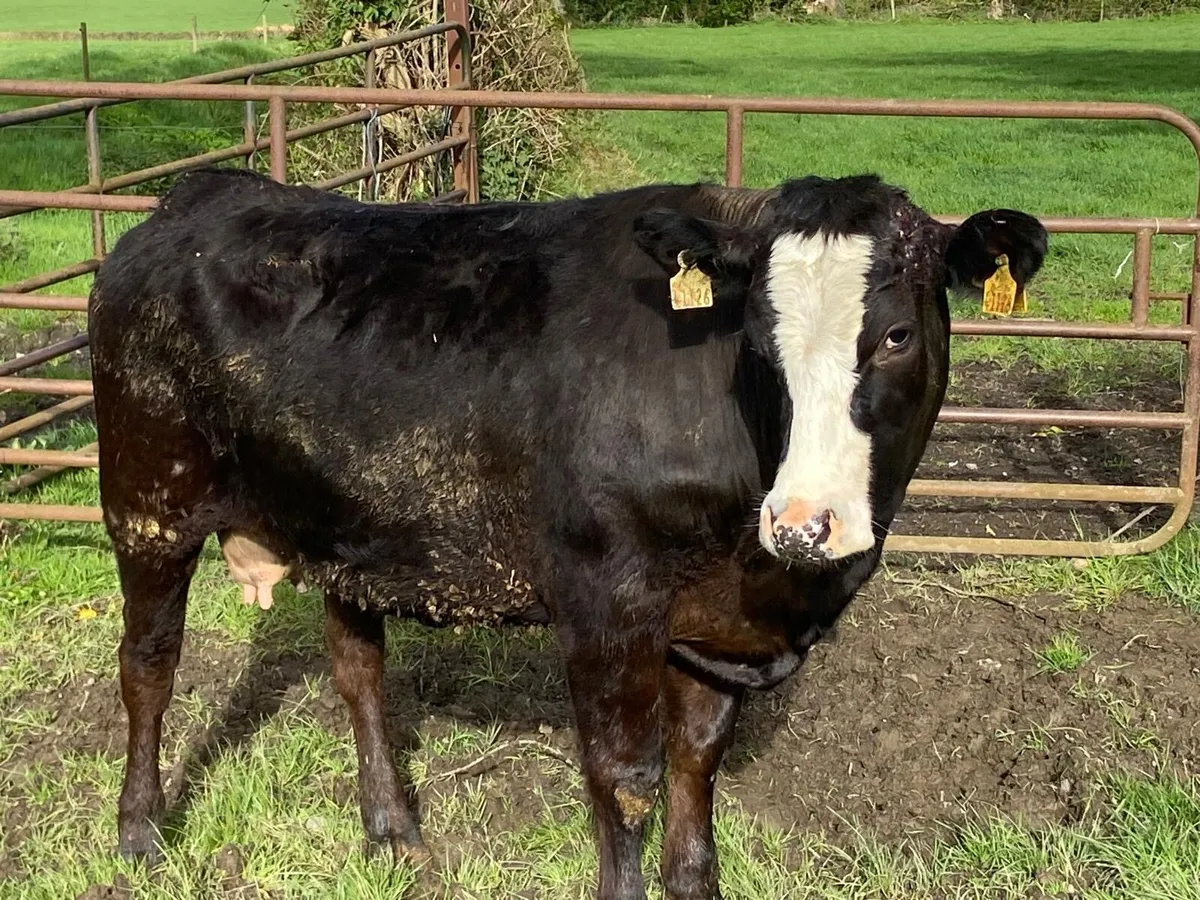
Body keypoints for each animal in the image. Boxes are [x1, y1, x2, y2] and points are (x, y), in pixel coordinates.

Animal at [88, 167, 1047, 900]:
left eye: (896, 334)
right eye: (759, 341)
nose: (804, 522)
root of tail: (198, 196)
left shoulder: (712, 622)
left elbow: (697, 760)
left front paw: (695, 881)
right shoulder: (604, 598)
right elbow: (624, 780)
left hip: (346, 521)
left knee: (357, 668)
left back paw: (394, 829)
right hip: (146, 499)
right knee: (149, 669)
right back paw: (138, 834)